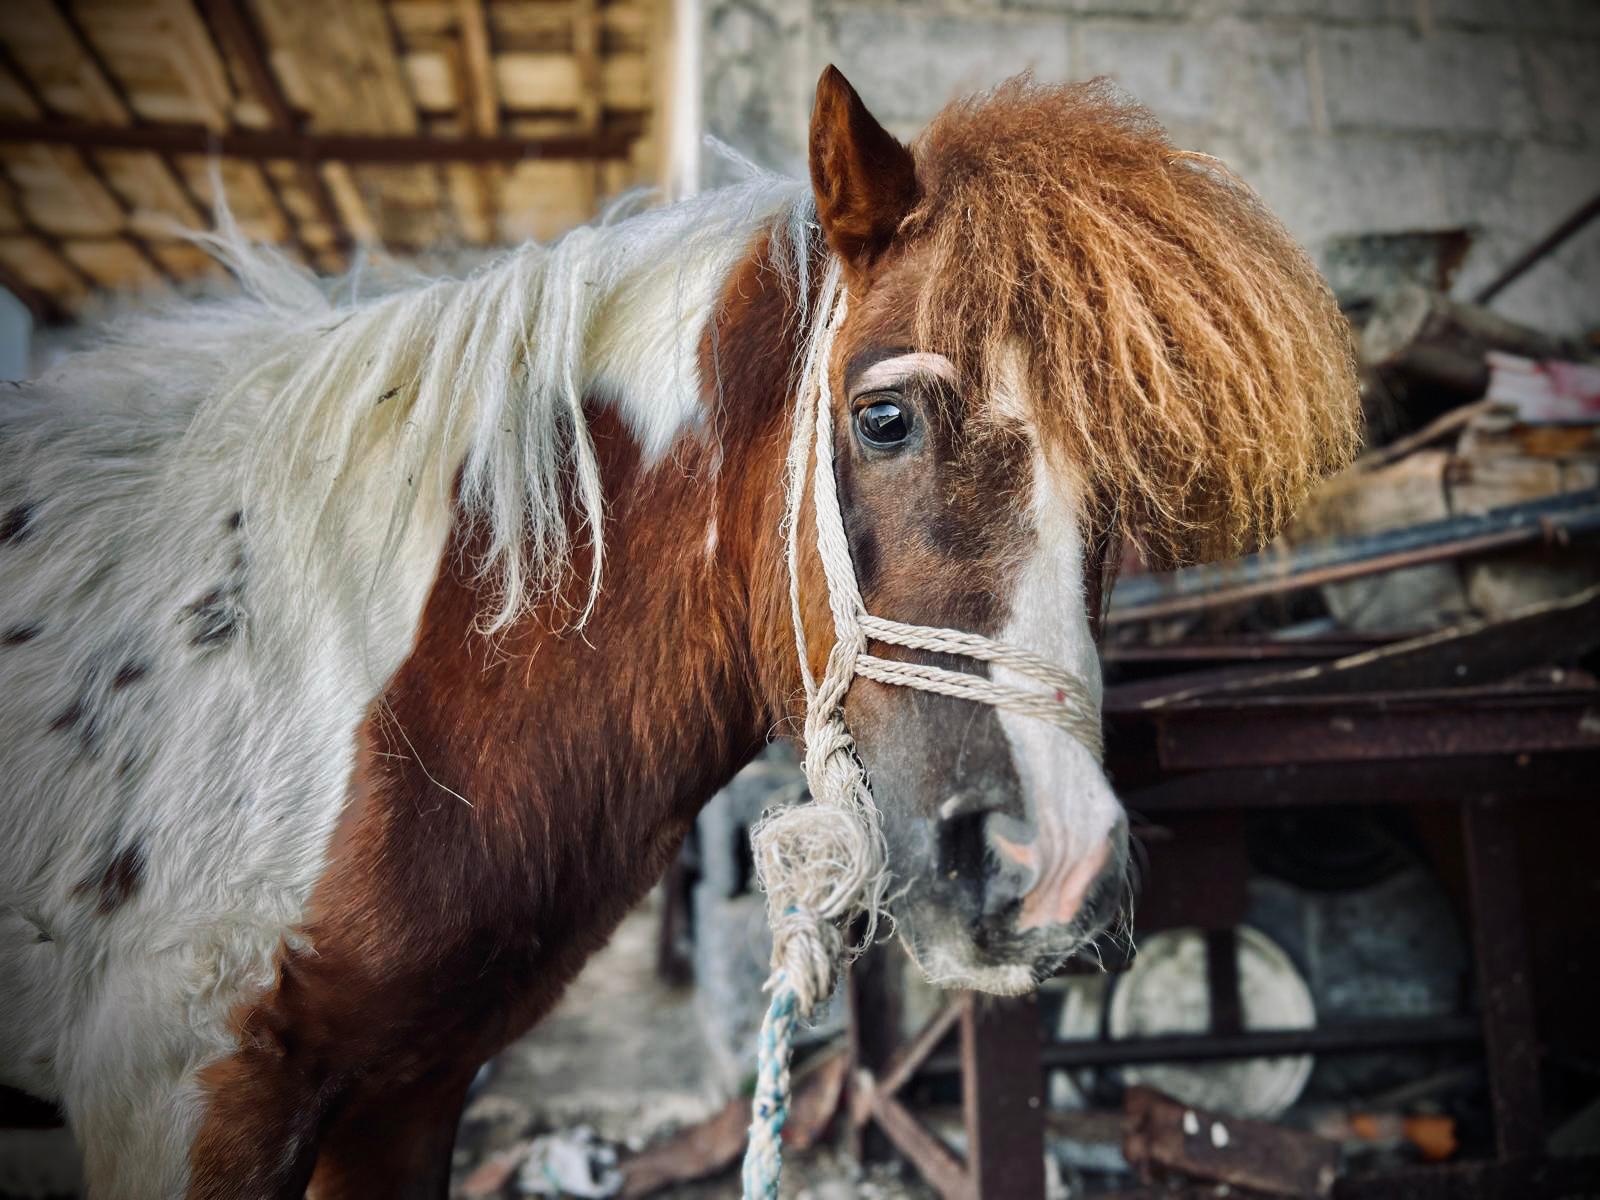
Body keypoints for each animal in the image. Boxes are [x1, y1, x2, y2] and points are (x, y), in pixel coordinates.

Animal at [0, 66, 1359, 1198]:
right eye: (883, 418)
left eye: (1124, 495)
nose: (1057, 868)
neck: (355, 682)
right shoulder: (191, 1098)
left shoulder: (404, 1098)